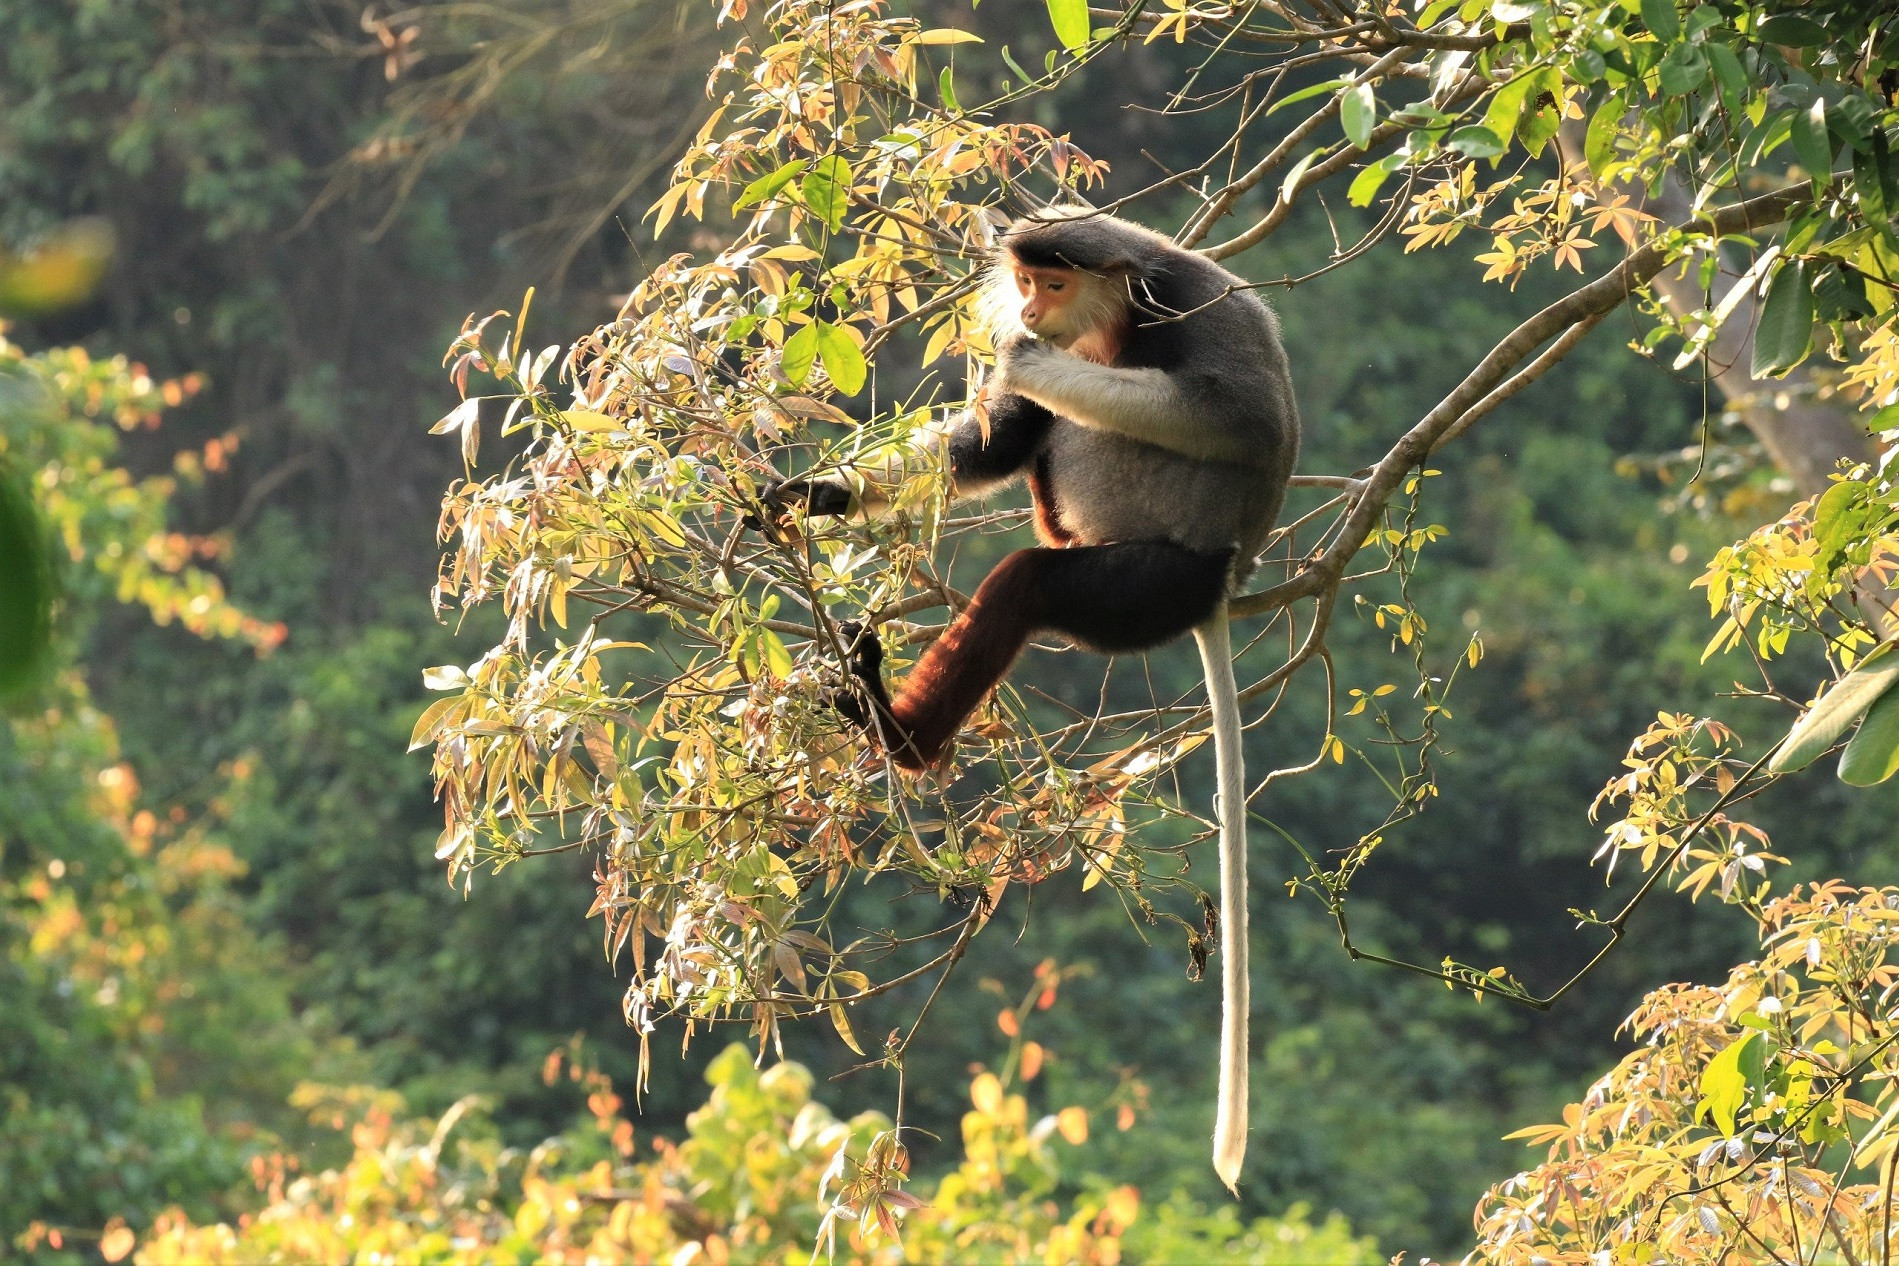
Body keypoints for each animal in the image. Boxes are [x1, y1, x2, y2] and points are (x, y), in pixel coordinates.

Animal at [748, 205, 1298, 1191]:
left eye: (1052, 282)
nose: (1033, 313)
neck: (1119, 314)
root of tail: (1215, 591)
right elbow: (992, 445)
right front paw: (818, 493)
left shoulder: (1199, 308)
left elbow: (1233, 419)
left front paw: (1022, 357)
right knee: (1028, 466)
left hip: (1144, 588)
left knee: (1030, 582)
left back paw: (902, 734)